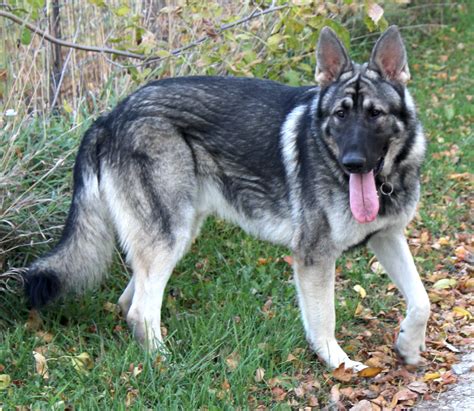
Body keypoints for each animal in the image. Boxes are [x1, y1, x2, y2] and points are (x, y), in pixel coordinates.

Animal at [25, 26, 430, 374]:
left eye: (375, 114)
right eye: (340, 114)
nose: (352, 162)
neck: (384, 182)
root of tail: (110, 117)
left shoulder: (388, 237)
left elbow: (421, 300)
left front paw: (409, 346)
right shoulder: (314, 258)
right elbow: (323, 321)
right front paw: (340, 365)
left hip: (177, 234)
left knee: (130, 301)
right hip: (169, 236)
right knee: (139, 310)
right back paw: (166, 366)